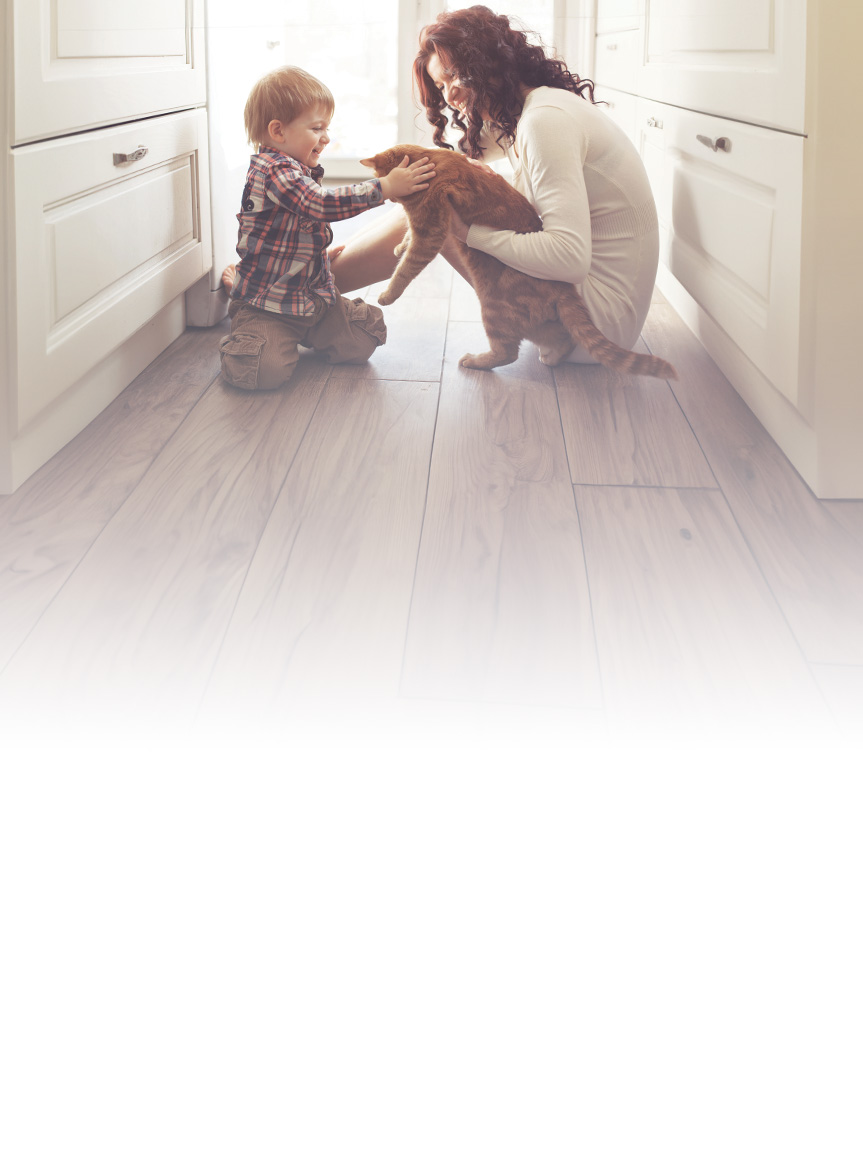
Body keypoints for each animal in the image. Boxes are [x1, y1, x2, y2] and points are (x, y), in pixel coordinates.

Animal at [361, 142, 681, 379]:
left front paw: (388, 294)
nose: (388, 199)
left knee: (506, 353)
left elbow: (406, 269)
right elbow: (406, 240)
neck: (430, 160)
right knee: (562, 338)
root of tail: (565, 288)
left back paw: (474, 360)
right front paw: (399, 247)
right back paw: (554, 356)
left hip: (493, 308)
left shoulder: (430, 232)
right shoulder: (421, 228)